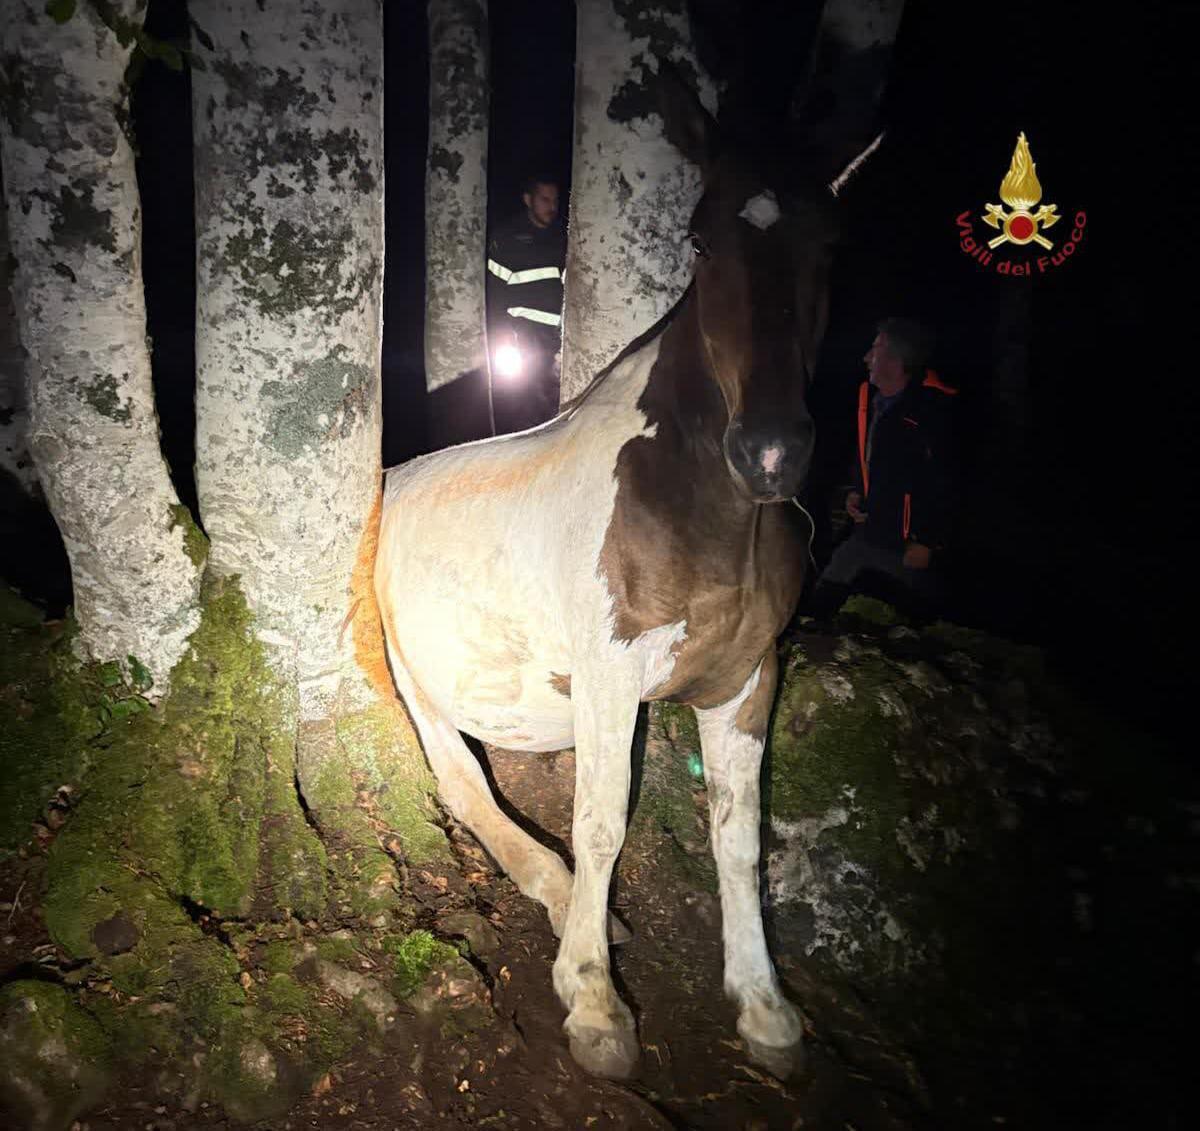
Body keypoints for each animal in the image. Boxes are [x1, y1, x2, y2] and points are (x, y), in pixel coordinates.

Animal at [375, 74, 875, 1080]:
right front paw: (594, 1003)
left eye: (830, 245)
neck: (704, 509)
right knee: (461, 781)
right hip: (409, 675)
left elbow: (739, 838)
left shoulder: (746, 678)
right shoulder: (610, 672)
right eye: (699, 239)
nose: (771, 452)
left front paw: (765, 1009)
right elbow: (602, 821)